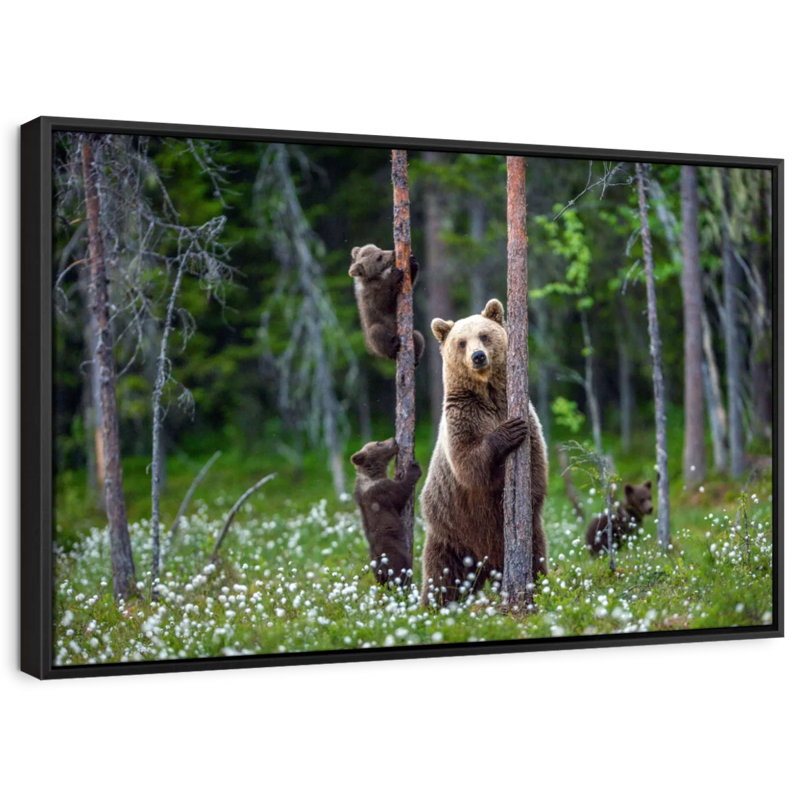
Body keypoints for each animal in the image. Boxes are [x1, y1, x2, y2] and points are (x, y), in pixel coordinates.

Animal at [350, 437, 422, 586]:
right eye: (379, 443)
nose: (394, 439)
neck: (372, 475)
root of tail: (381, 567)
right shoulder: (382, 492)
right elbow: (400, 493)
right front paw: (413, 467)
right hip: (395, 554)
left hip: (375, 568)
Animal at [419, 299, 548, 605]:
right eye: (461, 342)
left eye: (485, 335)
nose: (478, 356)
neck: (488, 394)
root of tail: (487, 566)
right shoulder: (462, 418)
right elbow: (469, 464)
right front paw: (507, 432)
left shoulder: (526, 415)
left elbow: (536, 466)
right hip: (451, 534)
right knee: (441, 578)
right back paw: (432, 607)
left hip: (527, 537)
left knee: (536, 559)